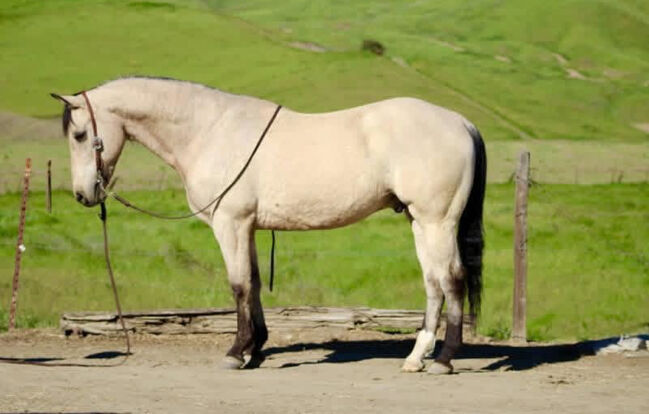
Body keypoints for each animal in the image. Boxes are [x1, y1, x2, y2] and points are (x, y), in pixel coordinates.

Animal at [51, 76, 486, 374]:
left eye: (80, 134)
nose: (83, 194)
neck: (209, 131)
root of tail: (461, 122)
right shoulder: (248, 228)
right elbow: (255, 284)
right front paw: (255, 349)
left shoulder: (230, 224)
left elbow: (239, 285)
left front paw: (236, 352)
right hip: (419, 222)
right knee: (432, 283)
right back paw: (416, 357)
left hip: (436, 222)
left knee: (452, 280)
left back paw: (444, 360)